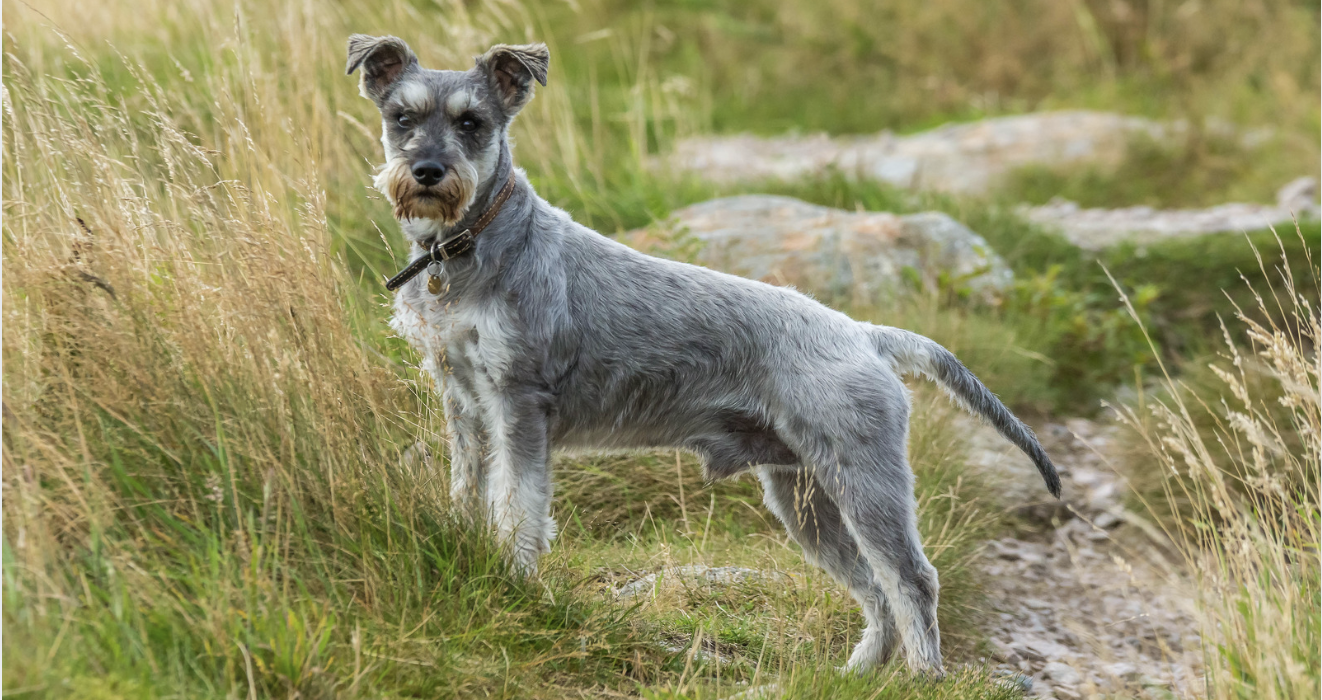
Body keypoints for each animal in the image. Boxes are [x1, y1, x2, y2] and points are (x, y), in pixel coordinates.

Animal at [346, 35, 1057, 673]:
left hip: (864, 482)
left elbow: (518, 514)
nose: (427, 173)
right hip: (806, 500)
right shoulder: (465, 407)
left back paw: (922, 676)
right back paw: (857, 673)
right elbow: (468, 496)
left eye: (472, 122)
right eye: (401, 116)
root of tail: (864, 334)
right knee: (872, 587)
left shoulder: (518, 407)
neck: (466, 248)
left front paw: (516, 587)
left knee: (911, 579)